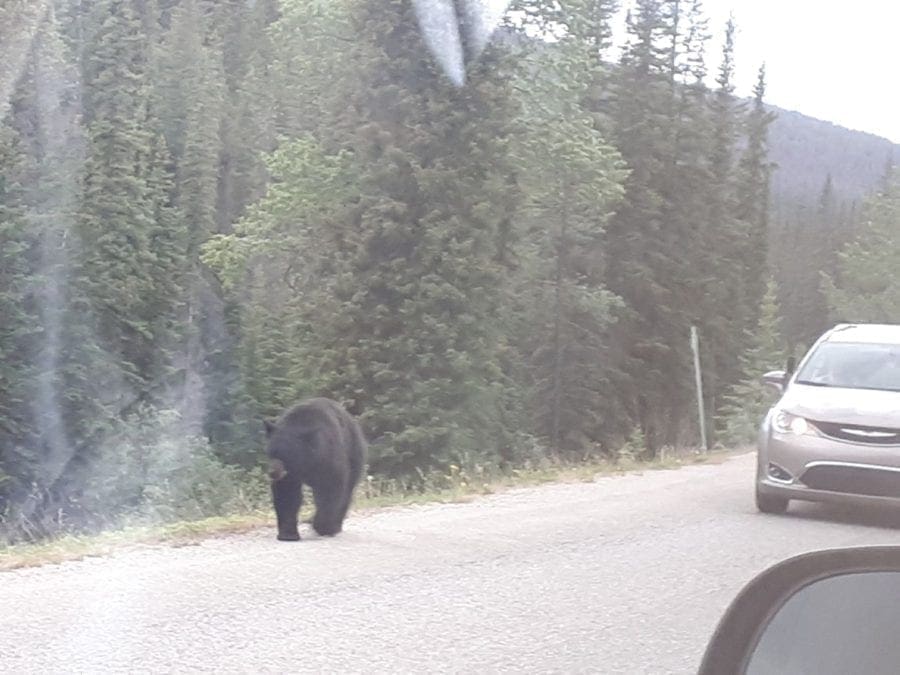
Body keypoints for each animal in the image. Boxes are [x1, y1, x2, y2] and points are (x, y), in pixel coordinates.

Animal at [264, 398, 366, 540]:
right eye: (271, 452)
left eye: (286, 455)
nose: (273, 472)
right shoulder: (290, 475)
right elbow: (287, 494)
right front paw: (288, 534)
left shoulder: (328, 458)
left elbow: (329, 489)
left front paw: (322, 527)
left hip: (353, 455)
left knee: (346, 492)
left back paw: (335, 526)